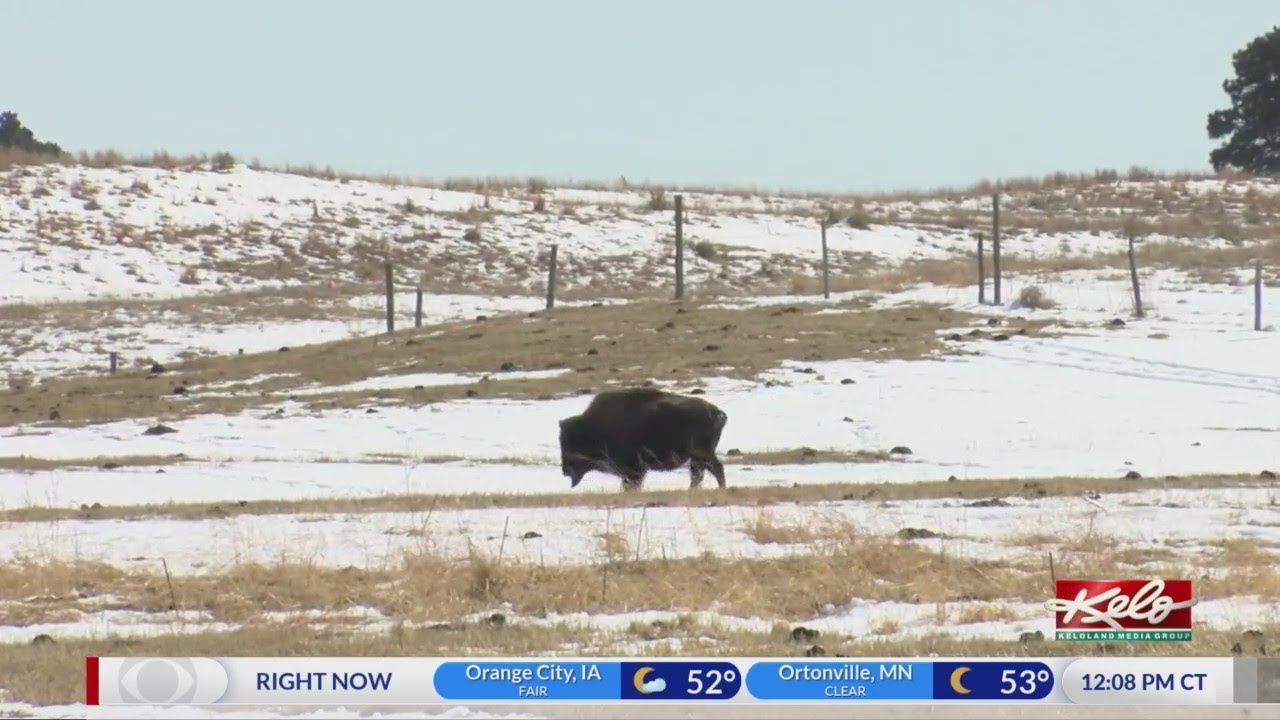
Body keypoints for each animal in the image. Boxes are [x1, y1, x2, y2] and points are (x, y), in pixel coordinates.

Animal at [558, 387, 729, 491]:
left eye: (571, 442)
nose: (565, 471)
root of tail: (716, 411)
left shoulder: (634, 469)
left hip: (702, 454)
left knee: (712, 470)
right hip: (698, 457)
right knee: (700, 474)